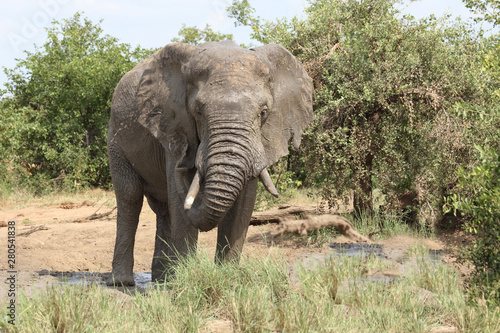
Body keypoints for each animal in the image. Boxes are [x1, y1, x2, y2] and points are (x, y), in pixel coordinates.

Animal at [106, 40, 312, 284]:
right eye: (198, 111)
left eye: (263, 112)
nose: (184, 164)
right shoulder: (173, 125)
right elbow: (180, 204)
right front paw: (187, 281)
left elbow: (244, 202)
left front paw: (229, 279)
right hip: (115, 139)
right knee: (130, 196)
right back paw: (123, 282)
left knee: (163, 209)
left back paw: (163, 279)